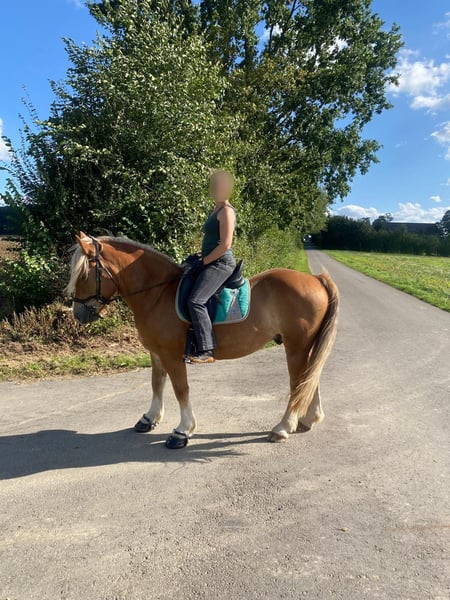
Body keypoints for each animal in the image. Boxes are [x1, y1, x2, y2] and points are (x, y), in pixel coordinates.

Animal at [66, 232, 339, 448]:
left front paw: (182, 431)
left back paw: (283, 427)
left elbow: (181, 389)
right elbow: (157, 384)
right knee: (309, 378)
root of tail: (316, 279)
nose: (78, 314)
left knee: (299, 382)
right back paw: (308, 419)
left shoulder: (171, 355)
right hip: (305, 346)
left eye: (83, 274)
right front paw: (149, 418)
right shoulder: (156, 353)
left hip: (296, 347)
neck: (158, 293)